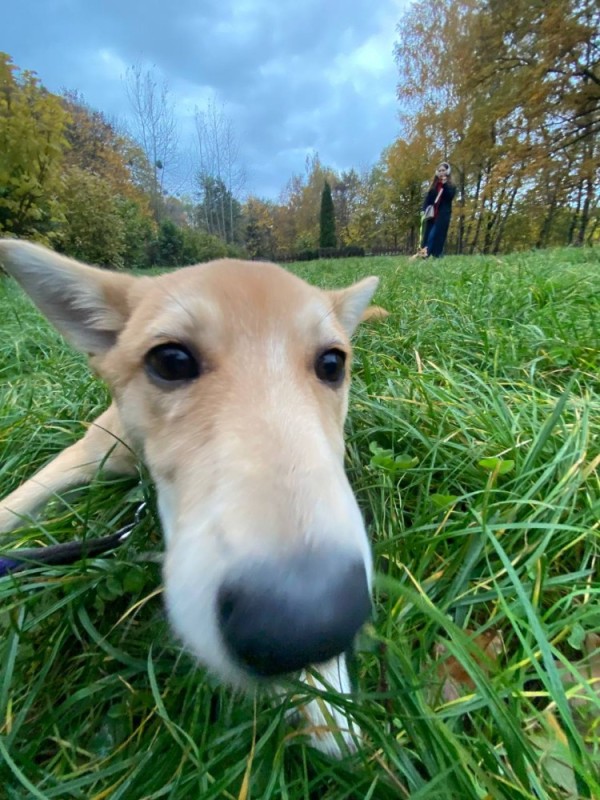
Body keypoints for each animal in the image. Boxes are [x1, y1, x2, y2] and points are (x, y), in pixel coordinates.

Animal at [0, 238, 384, 756]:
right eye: (171, 362)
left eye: (332, 364)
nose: (306, 624)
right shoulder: (89, 449)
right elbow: (17, 502)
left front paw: (327, 701)